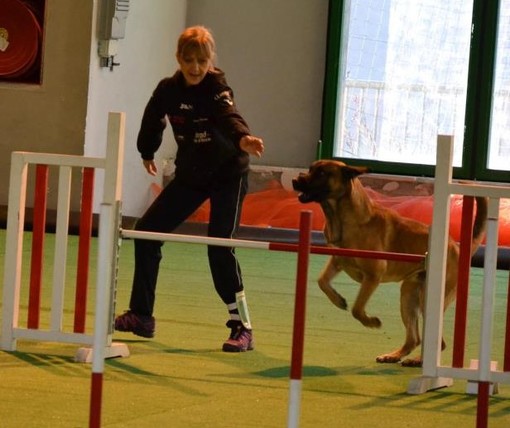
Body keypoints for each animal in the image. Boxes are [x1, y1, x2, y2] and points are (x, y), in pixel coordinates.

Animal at [290, 159, 486, 366]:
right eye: (311, 169)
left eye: (321, 173)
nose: (295, 180)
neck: (343, 217)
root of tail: (456, 246)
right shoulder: (337, 262)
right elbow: (322, 281)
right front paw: (338, 300)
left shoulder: (373, 276)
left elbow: (357, 309)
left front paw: (371, 322)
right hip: (408, 296)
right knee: (414, 338)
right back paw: (394, 356)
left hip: (427, 299)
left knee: (437, 342)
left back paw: (418, 360)